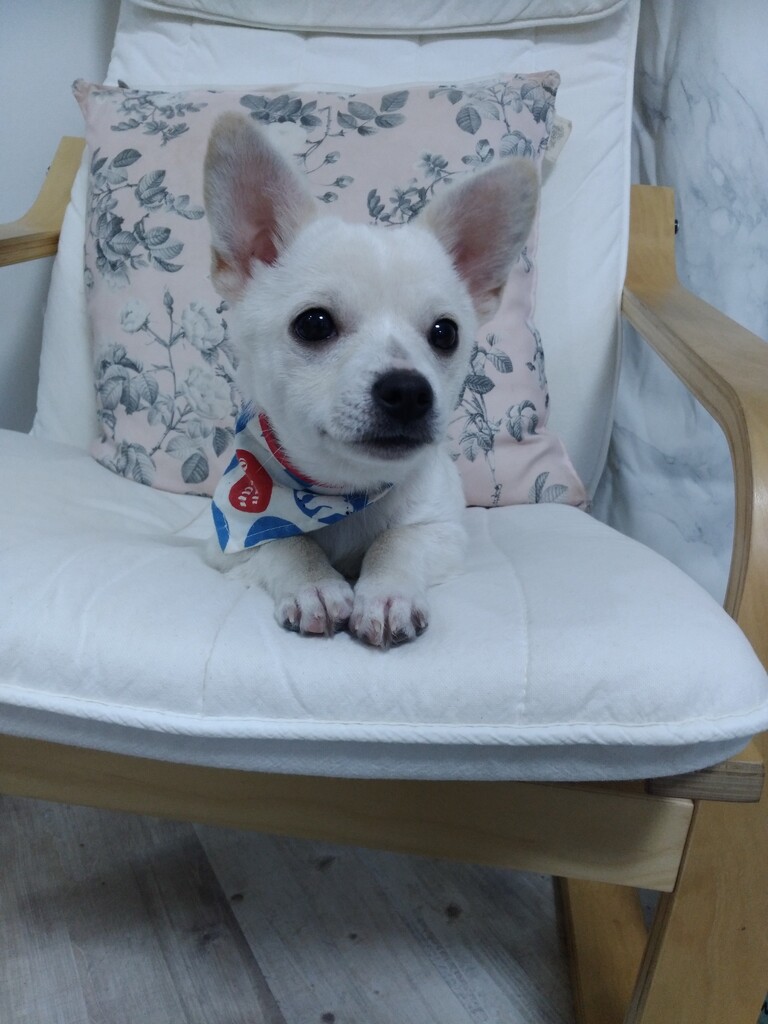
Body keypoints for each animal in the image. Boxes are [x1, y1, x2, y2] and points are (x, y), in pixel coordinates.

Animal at [203, 113, 538, 648]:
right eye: (314, 324)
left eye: (446, 333)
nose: (409, 391)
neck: (341, 492)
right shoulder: (230, 537)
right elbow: (284, 541)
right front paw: (314, 585)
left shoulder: (442, 531)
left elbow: (396, 541)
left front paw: (386, 593)